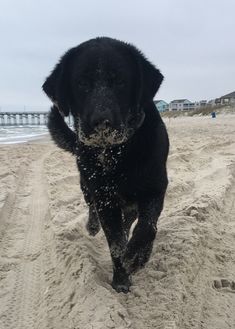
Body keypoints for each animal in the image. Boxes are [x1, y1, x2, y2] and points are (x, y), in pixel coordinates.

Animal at [42, 36, 169, 292]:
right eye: (81, 83)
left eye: (120, 81)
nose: (101, 122)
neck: (118, 154)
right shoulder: (105, 199)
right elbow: (115, 244)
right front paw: (120, 280)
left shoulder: (156, 187)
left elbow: (147, 225)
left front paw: (137, 255)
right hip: (87, 186)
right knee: (92, 208)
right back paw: (92, 226)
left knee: (132, 221)